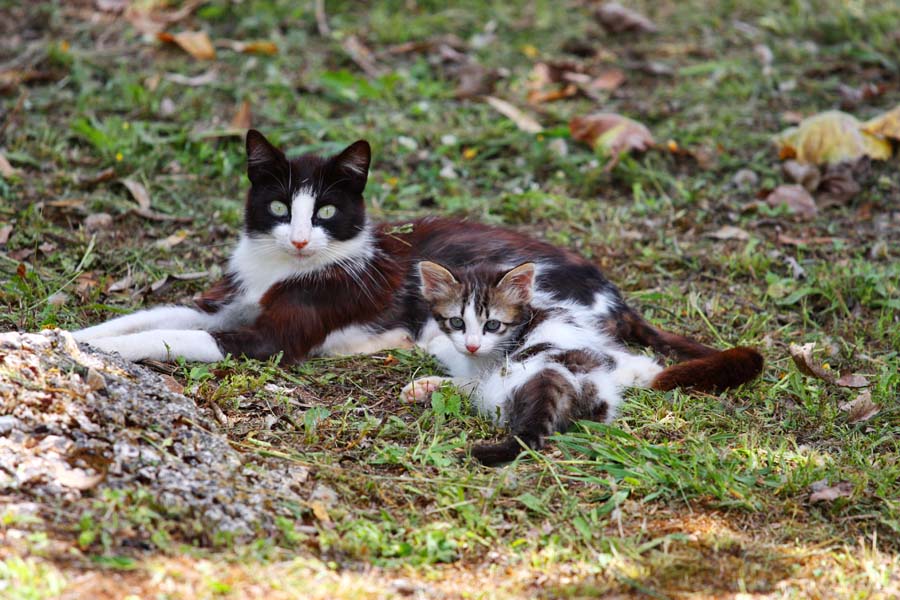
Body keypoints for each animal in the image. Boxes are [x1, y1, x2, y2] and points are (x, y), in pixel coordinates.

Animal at [73, 130, 763, 404]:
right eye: (277, 207)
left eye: (327, 212)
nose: (299, 239)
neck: (280, 268)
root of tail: (616, 295)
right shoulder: (227, 299)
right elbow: (154, 314)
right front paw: (65, 336)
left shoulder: (272, 337)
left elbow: (175, 335)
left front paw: (110, 357)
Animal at [401, 260, 715, 465]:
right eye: (457, 322)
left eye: (492, 325)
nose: (472, 344)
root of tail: (556, 374)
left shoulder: (487, 366)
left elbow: (463, 376)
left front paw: (427, 376)